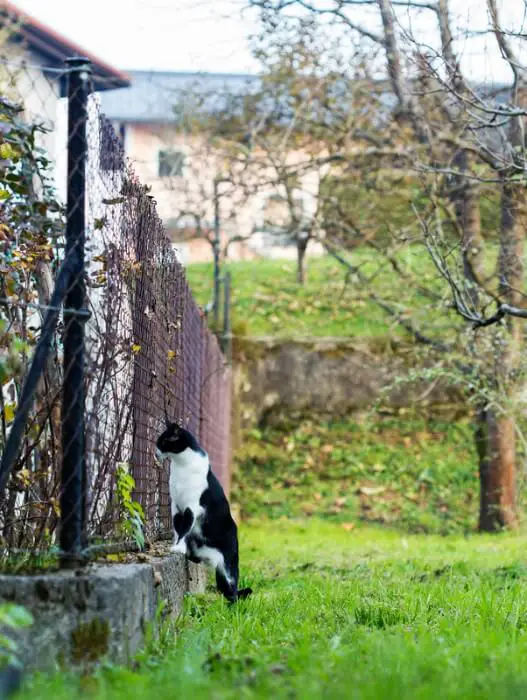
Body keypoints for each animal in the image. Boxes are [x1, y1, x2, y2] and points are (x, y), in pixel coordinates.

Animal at [156, 422, 253, 600]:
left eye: (163, 442)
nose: (155, 451)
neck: (181, 466)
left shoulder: (192, 506)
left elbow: (184, 528)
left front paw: (178, 547)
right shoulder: (175, 506)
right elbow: (177, 528)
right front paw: (178, 546)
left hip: (228, 564)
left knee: (232, 588)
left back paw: (231, 602)